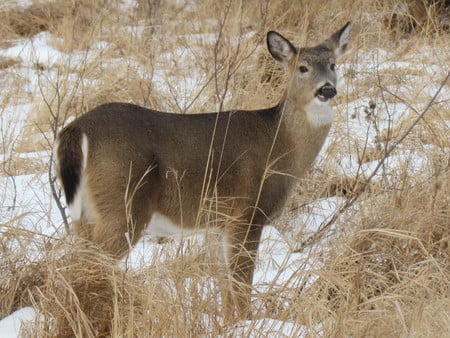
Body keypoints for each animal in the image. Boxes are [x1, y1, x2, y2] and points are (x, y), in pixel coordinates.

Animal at [54, 22, 352, 324]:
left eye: (333, 65)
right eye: (303, 67)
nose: (327, 89)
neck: (281, 145)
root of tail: (76, 129)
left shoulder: (217, 223)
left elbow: (224, 286)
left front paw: (229, 324)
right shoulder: (247, 214)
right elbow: (241, 284)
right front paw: (247, 322)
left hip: (85, 215)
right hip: (123, 203)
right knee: (84, 267)